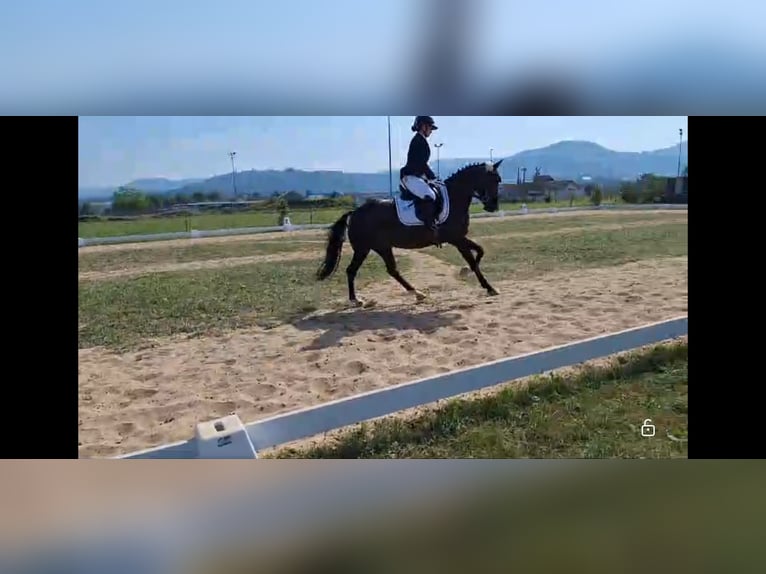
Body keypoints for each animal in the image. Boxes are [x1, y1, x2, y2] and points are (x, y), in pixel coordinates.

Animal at [316, 160, 504, 308]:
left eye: (499, 180)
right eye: (494, 180)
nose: (493, 206)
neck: (455, 196)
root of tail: (354, 212)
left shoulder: (459, 238)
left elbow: (480, 251)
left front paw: (467, 273)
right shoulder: (456, 239)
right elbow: (473, 261)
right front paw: (488, 287)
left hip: (381, 247)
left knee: (392, 270)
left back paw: (417, 293)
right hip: (364, 249)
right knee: (352, 270)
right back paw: (356, 300)